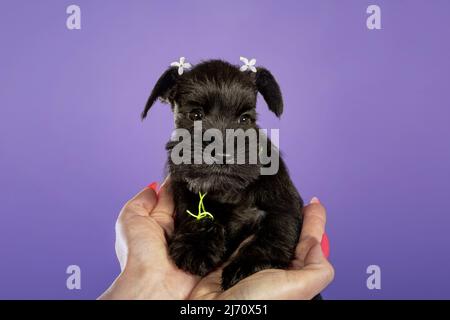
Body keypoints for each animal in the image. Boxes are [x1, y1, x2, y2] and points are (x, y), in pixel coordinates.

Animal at [142, 59, 306, 290]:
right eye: (195, 115)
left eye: (245, 119)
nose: (221, 153)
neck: (229, 191)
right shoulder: (185, 191)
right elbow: (197, 214)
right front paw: (196, 247)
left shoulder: (283, 204)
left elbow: (274, 231)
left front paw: (245, 267)